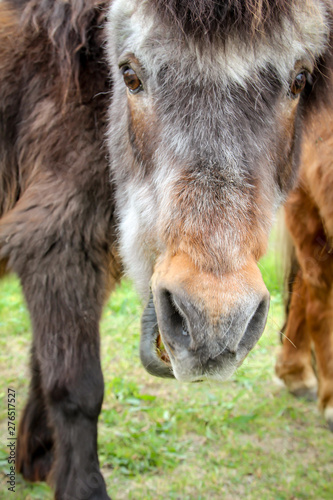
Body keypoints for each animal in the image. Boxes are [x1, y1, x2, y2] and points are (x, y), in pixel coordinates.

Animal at [1, 0, 332, 500]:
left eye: (299, 80)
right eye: (129, 75)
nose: (215, 325)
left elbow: (44, 361)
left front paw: (38, 460)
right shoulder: (59, 245)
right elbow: (77, 387)